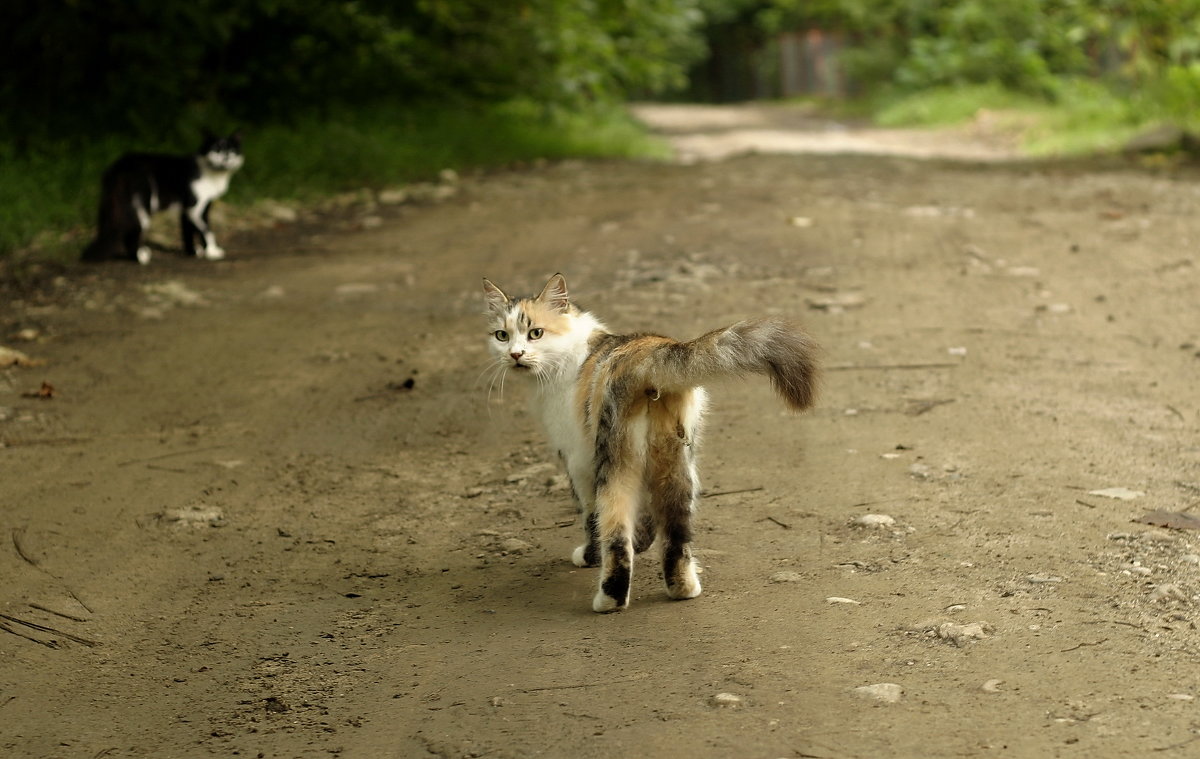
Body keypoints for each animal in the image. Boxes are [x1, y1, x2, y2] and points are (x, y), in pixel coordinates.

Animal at [82, 135, 243, 265]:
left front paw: (192, 252)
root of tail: (119, 166)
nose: (225, 158)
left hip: (112, 206)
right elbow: (206, 230)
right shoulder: (194, 207)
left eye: (231, 151)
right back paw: (140, 257)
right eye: (216, 150)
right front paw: (212, 251)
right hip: (143, 205)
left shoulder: (189, 209)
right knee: (133, 235)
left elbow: (188, 231)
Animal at [482, 272, 820, 610]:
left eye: (535, 333)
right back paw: (683, 588)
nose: (514, 354)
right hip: (677, 465)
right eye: (502, 335)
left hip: (613, 462)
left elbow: (590, 517)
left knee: (615, 530)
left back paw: (609, 600)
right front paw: (642, 542)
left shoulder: (578, 461)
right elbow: (644, 518)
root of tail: (647, 353)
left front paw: (590, 555)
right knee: (676, 534)